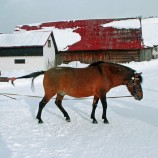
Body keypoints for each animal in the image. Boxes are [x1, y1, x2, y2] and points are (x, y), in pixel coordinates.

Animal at [13, 61, 143, 124]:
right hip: (50, 93)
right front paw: (105, 119)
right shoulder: (102, 93)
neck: (105, 73)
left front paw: (93, 119)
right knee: (42, 104)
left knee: (58, 103)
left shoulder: (96, 94)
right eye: (137, 84)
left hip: (61, 93)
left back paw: (67, 117)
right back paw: (39, 119)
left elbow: (94, 105)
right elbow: (105, 105)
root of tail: (46, 71)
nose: (140, 97)